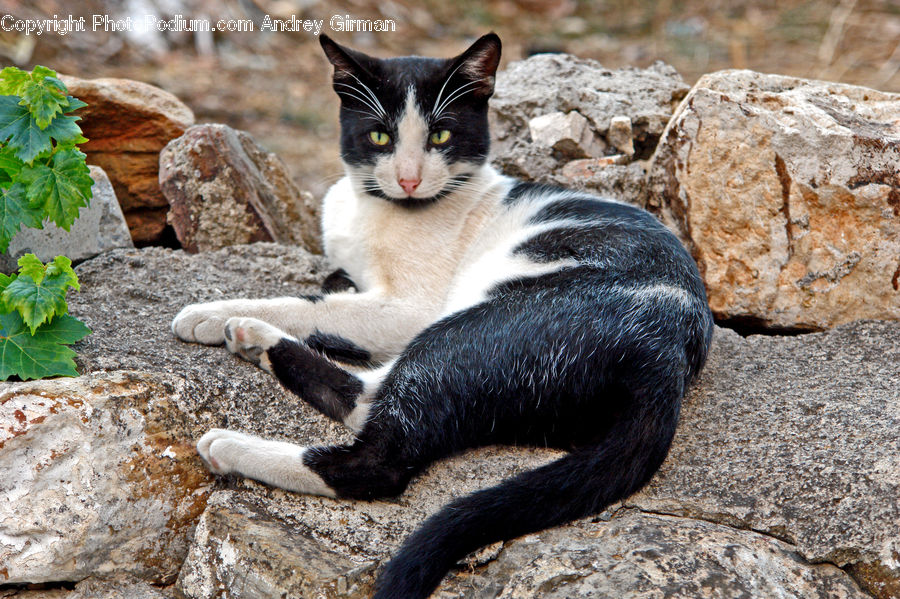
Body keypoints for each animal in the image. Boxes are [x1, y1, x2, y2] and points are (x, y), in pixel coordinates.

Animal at [172, 32, 712, 599]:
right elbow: (334, 287)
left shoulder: (410, 308)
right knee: (370, 399)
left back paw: (232, 427)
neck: (375, 212)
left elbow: (312, 305)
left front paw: (210, 310)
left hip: (467, 328)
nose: (409, 179)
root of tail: (665, 351)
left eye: (441, 135)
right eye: (380, 136)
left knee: (378, 457)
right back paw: (254, 339)